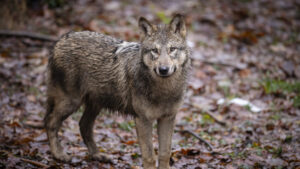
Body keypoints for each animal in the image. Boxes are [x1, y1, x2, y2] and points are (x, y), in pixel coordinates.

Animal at [44, 13, 190, 169]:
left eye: (172, 49)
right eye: (154, 51)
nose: (163, 70)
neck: (164, 91)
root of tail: (60, 40)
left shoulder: (168, 118)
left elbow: (165, 153)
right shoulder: (143, 119)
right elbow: (150, 157)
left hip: (95, 105)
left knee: (83, 126)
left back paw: (98, 155)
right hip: (71, 102)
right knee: (50, 122)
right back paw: (59, 154)